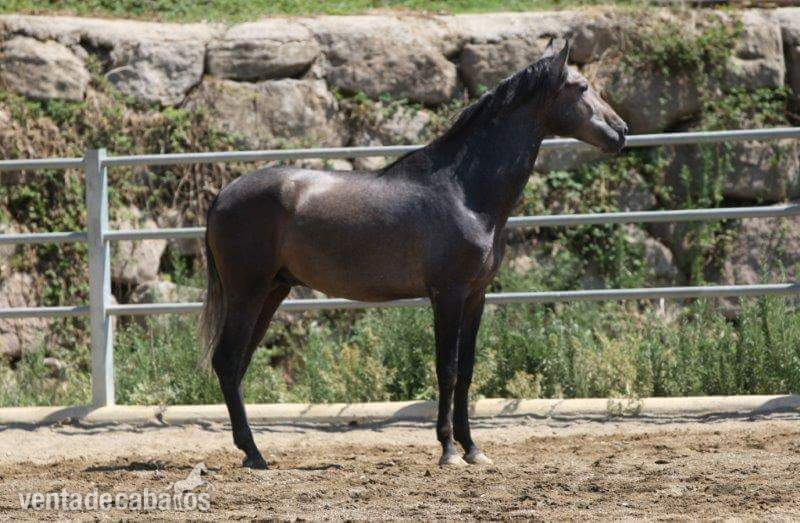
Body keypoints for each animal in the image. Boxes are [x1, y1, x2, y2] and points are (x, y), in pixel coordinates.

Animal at [200, 39, 628, 469]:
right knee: (226, 361)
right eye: (581, 87)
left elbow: (467, 371)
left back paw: (251, 453)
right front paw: (448, 450)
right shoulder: (448, 294)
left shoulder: (476, 296)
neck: (464, 191)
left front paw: (473, 449)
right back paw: (254, 453)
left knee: (237, 365)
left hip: (272, 291)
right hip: (247, 293)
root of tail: (222, 195)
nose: (621, 131)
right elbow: (447, 369)